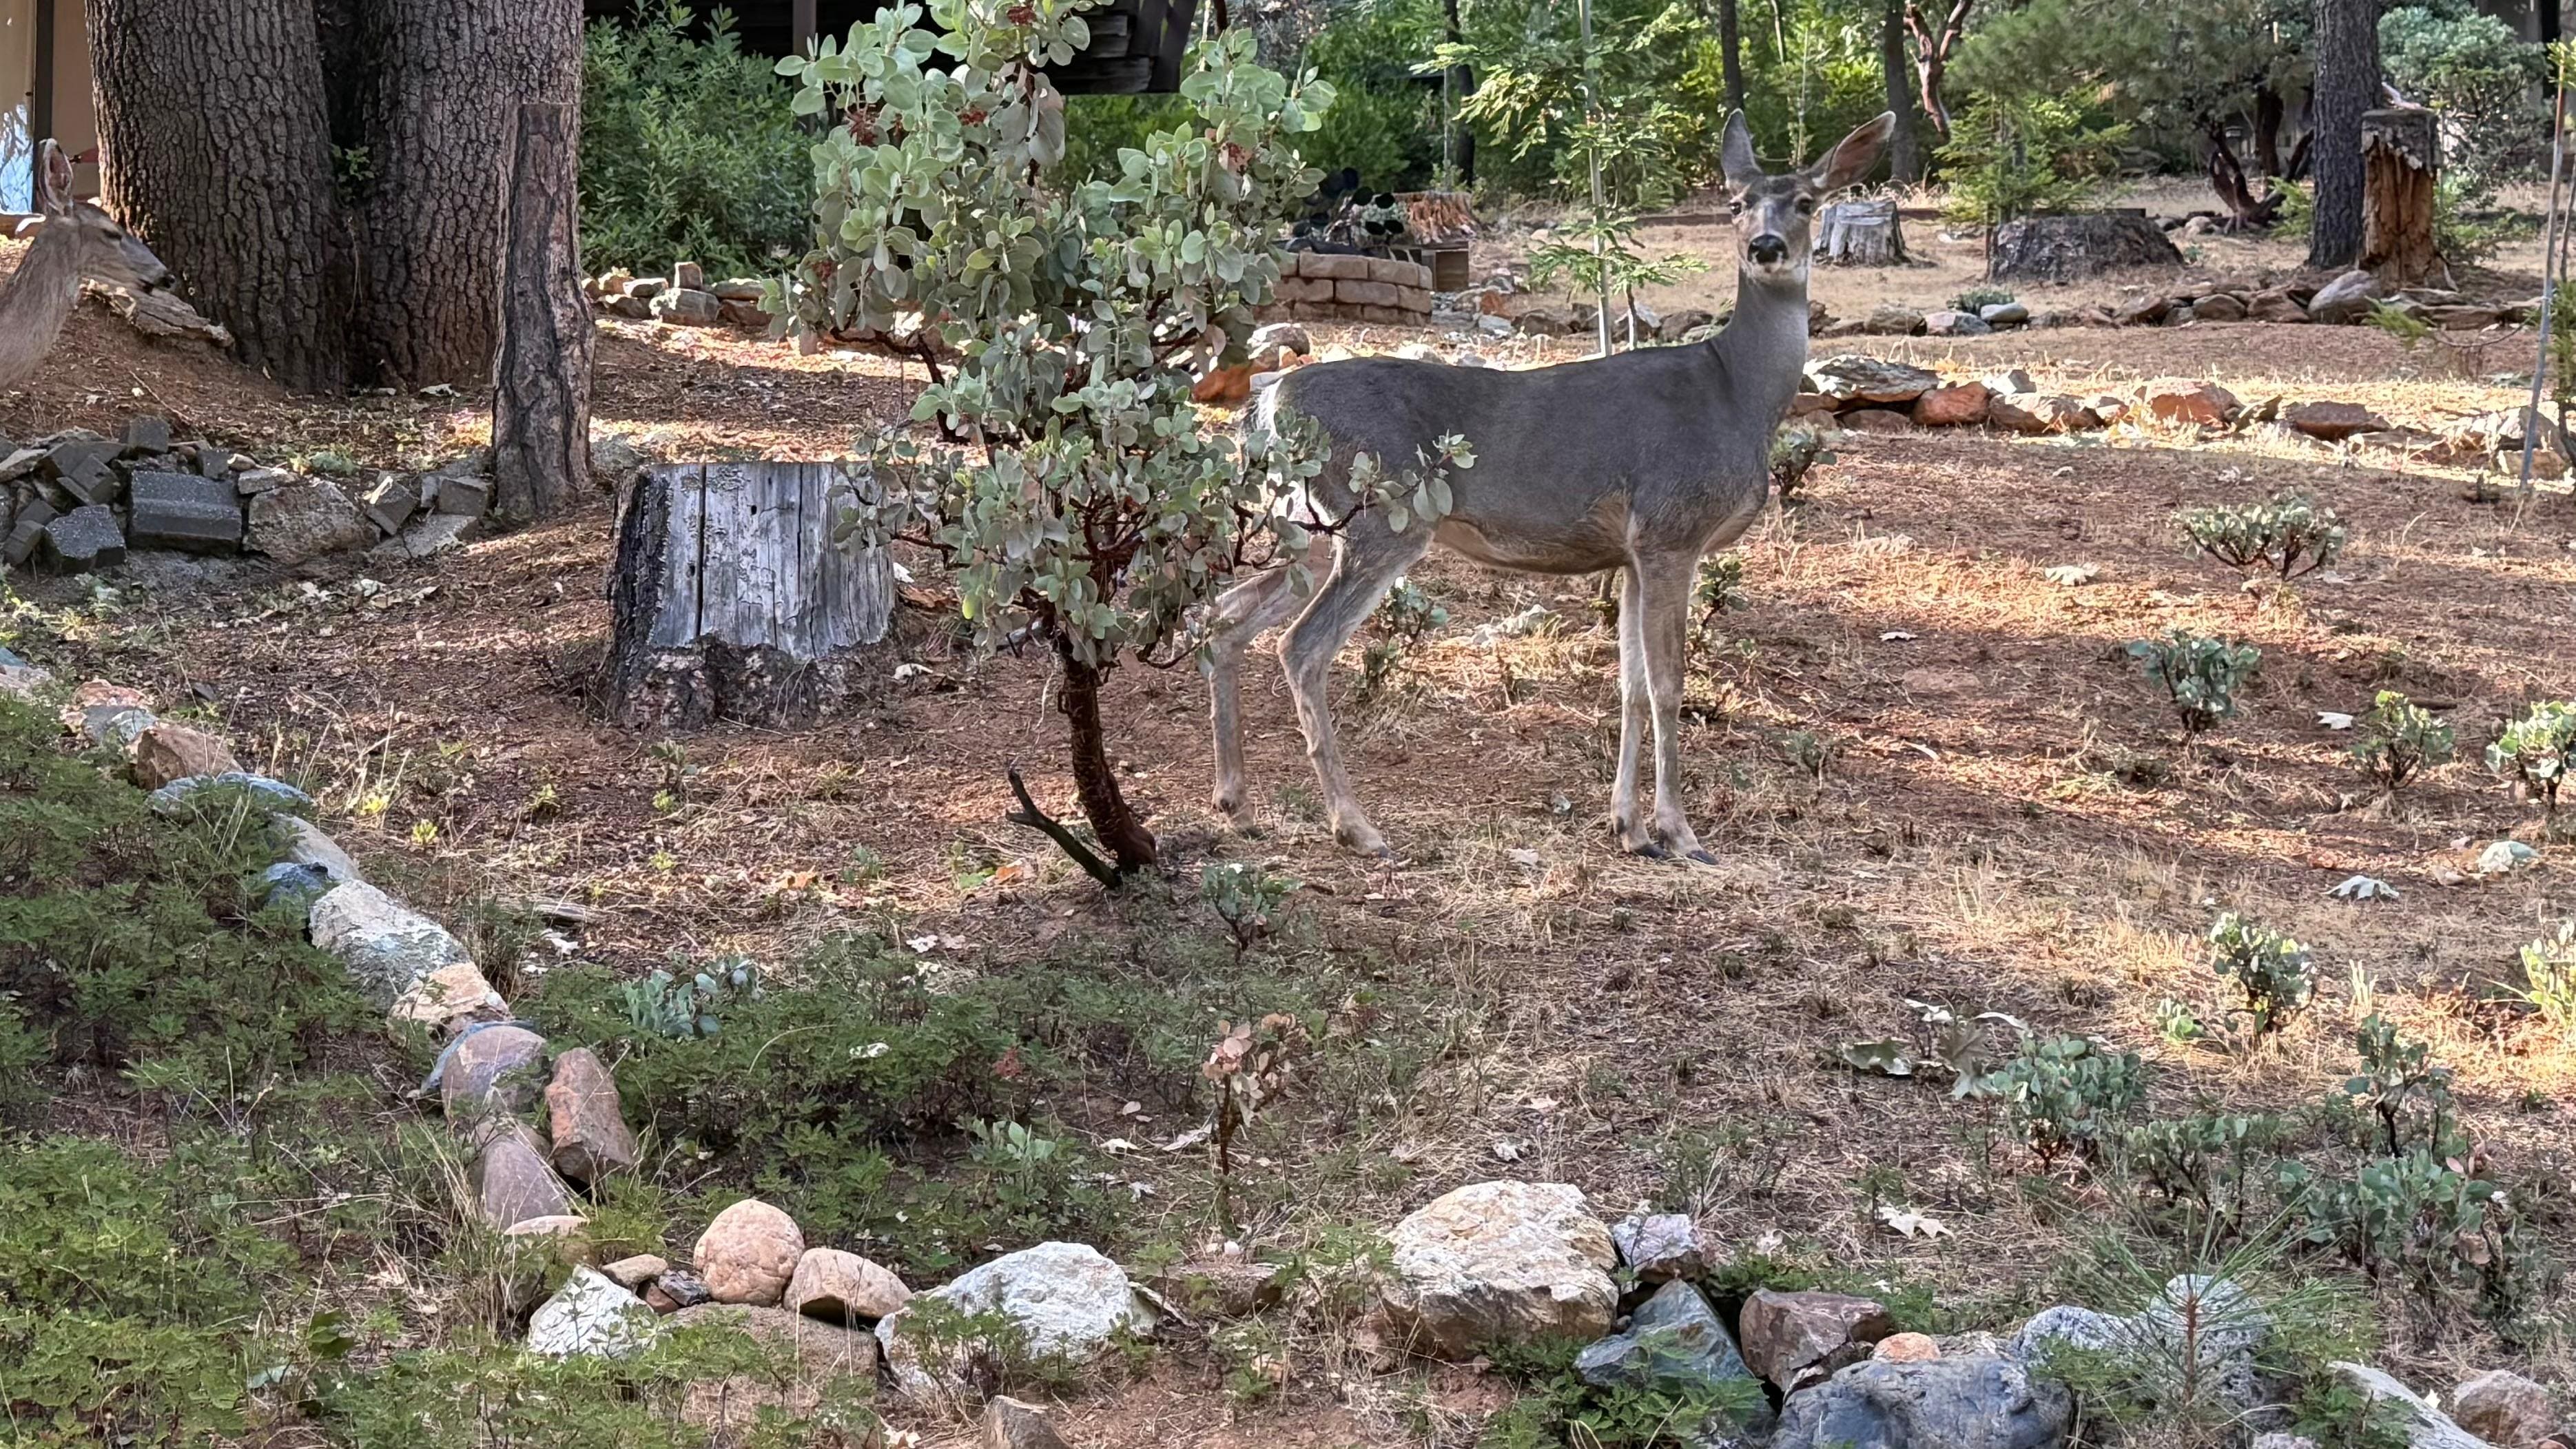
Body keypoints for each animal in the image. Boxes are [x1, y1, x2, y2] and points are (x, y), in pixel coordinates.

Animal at [1206, 111, 1893, 863]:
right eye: (1737, 204)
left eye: (1805, 201)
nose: (1765, 247)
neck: (1737, 393)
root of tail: (1269, 403)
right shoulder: (1671, 529)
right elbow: (1667, 684)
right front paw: (1679, 832)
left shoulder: (1632, 554)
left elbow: (1628, 685)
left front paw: (1628, 827)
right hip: (1380, 516)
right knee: (1301, 647)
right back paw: (1355, 825)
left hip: (1303, 521)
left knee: (1227, 613)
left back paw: (1235, 803)